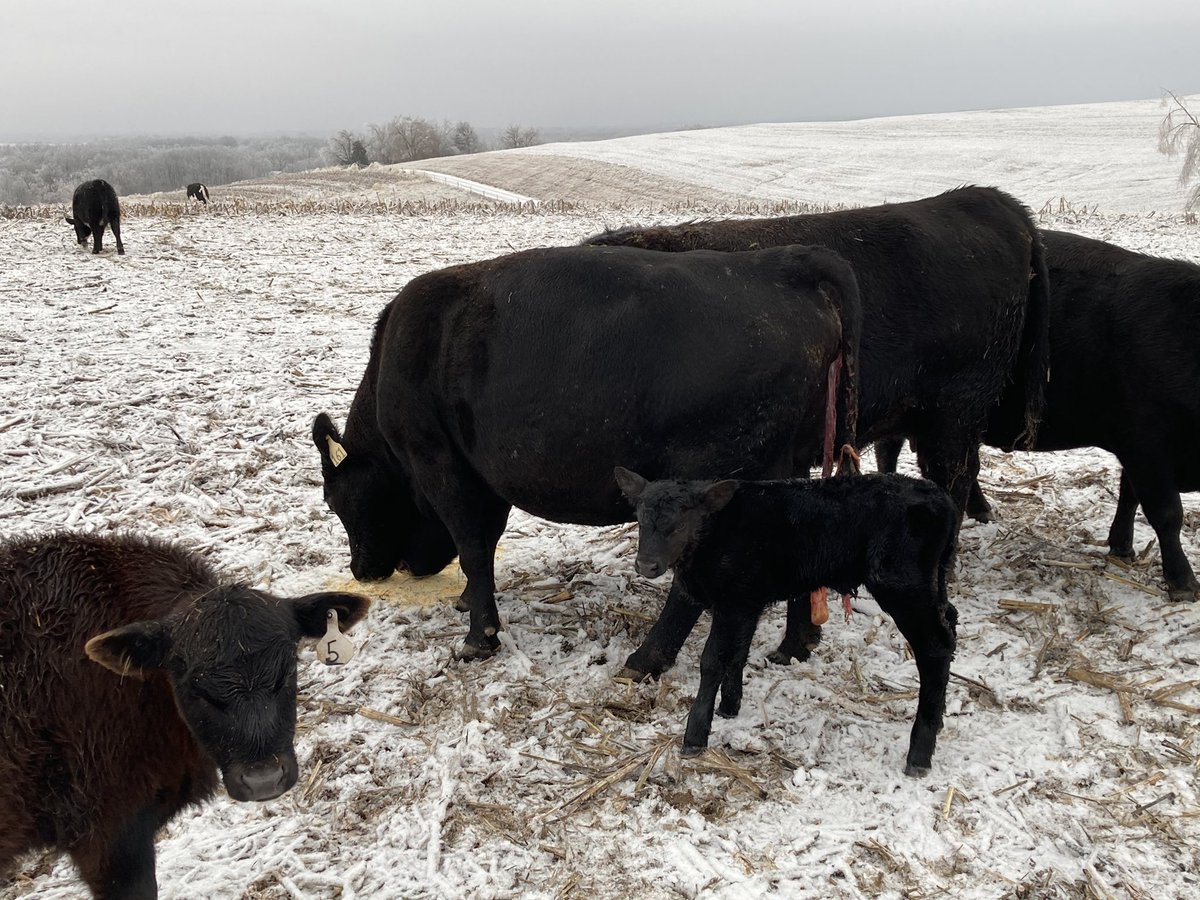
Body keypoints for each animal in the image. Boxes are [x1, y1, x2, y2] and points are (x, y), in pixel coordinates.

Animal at [314, 243, 862, 660]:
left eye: (339, 503)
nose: (362, 570)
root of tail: (781, 264)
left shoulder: (444, 466)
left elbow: (472, 546)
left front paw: (478, 639)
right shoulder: (486, 476)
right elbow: (482, 548)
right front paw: (470, 605)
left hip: (710, 480)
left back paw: (647, 659)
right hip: (787, 468)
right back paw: (794, 644)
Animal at [613, 467, 959, 776]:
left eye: (679, 526)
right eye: (641, 522)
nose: (646, 565)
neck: (712, 537)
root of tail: (940, 496)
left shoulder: (732, 601)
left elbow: (712, 660)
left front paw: (696, 734)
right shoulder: (745, 602)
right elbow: (737, 653)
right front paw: (729, 708)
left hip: (901, 584)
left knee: (935, 648)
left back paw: (919, 753)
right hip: (931, 584)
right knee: (950, 623)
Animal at [876, 229, 1200, 601]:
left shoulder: (1136, 447)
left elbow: (1128, 494)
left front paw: (1122, 547)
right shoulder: (1145, 442)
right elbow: (1166, 513)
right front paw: (1184, 583)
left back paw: (982, 510)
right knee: (895, 452)